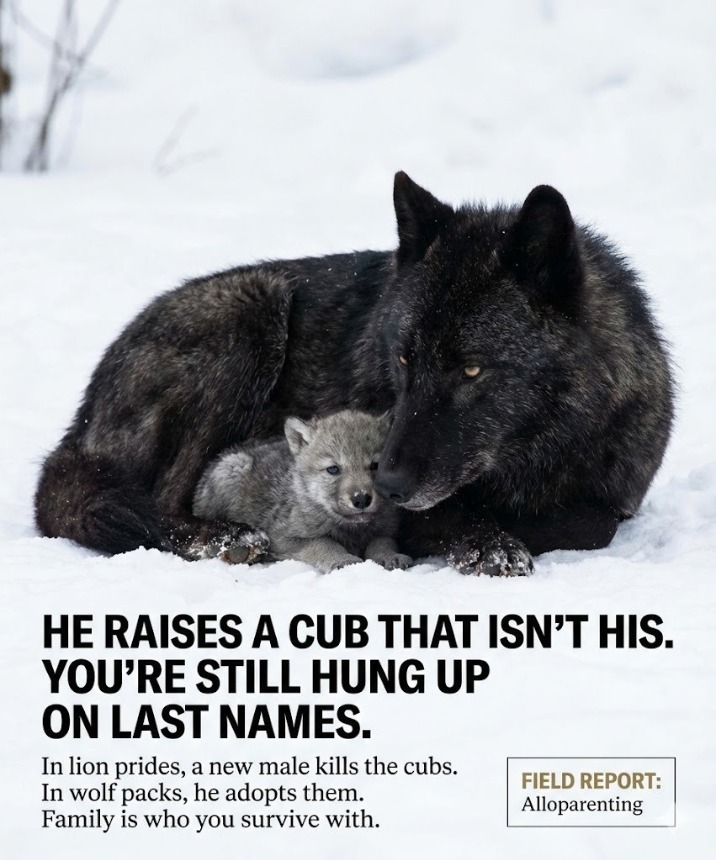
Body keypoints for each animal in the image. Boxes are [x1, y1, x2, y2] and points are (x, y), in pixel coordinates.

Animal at [193, 410, 412, 572]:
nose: (361, 499)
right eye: (333, 469)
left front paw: (390, 556)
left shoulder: (387, 531)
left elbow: (381, 542)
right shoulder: (283, 537)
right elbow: (323, 542)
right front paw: (342, 558)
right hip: (232, 470)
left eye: (375, 465)